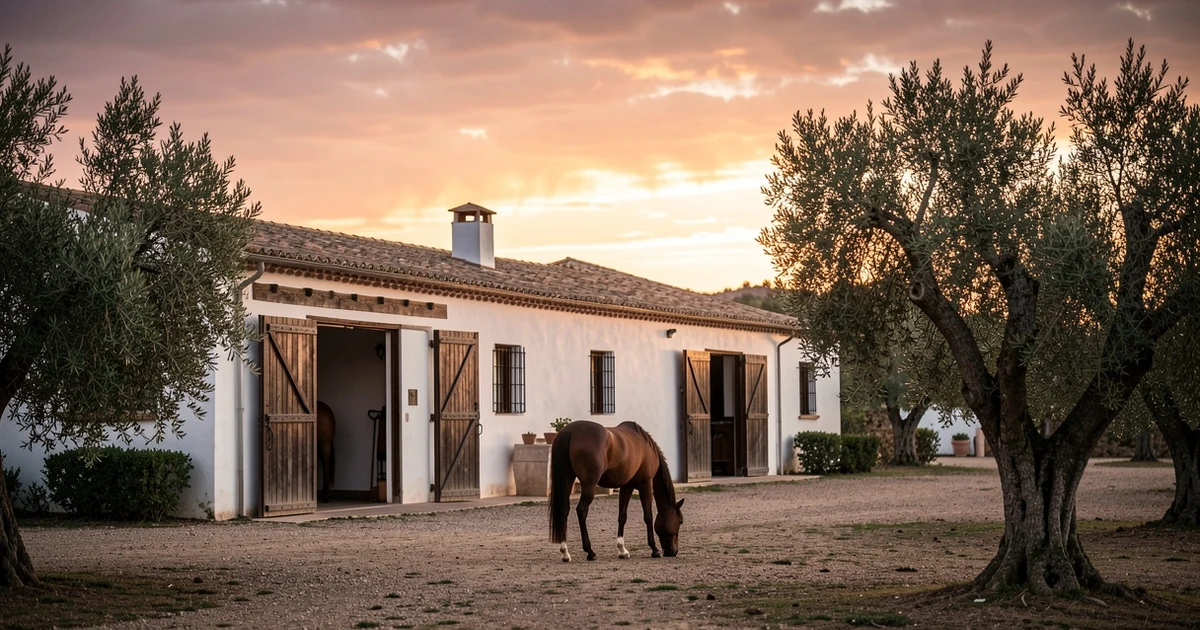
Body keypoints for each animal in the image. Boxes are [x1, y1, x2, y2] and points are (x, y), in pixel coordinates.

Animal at [549, 420, 684, 562]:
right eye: (680, 521)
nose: (673, 551)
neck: (646, 447)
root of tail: (569, 431)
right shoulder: (646, 484)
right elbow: (648, 516)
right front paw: (654, 549)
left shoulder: (626, 486)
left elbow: (622, 516)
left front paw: (622, 550)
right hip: (589, 486)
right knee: (581, 510)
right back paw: (590, 552)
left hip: (568, 480)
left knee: (564, 510)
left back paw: (565, 552)